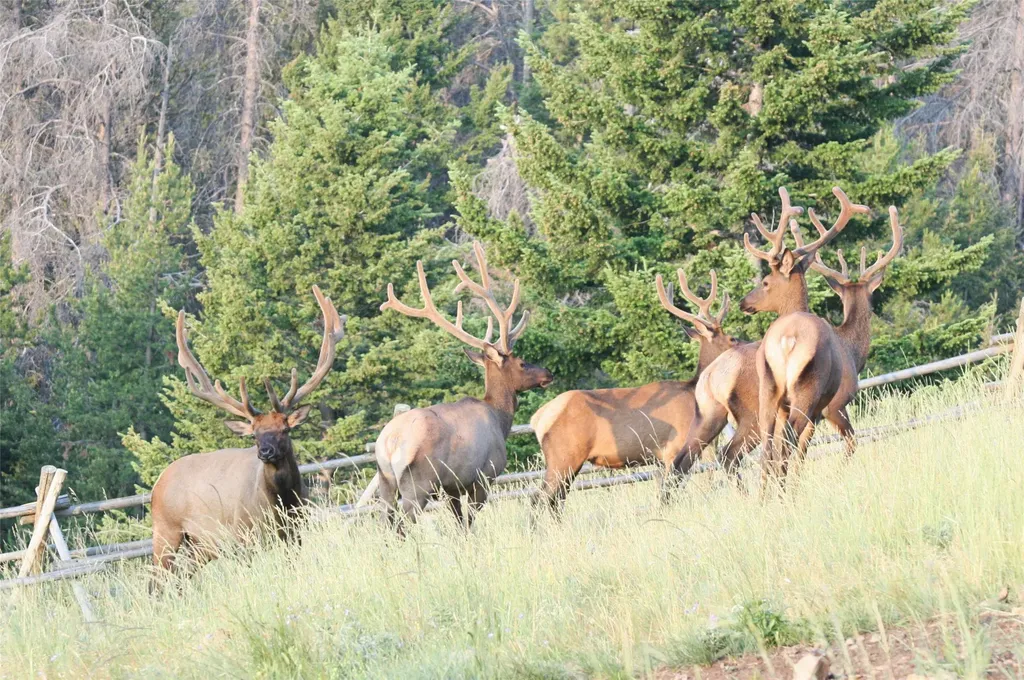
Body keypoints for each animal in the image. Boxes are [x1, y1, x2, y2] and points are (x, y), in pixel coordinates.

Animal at [150, 286, 345, 573]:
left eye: (285, 429)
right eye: (254, 435)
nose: (265, 451)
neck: (280, 505)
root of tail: (157, 484)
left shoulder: (296, 531)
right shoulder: (245, 537)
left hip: (199, 545)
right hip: (165, 531)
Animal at [372, 242, 553, 531]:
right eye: (522, 362)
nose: (548, 373)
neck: (501, 418)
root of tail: (389, 444)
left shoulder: (452, 487)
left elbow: (459, 524)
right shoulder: (483, 477)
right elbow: (469, 521)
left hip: (385, 481)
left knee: (386, 522)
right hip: (417, 482)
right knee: (404, 523)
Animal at [529, 270, 737, 512]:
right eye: (731, 338)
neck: (693, 396)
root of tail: (538, 419)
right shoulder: (673, 447)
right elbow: (672, 491)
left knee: (555, 499)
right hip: (564, 455)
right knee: (539, 499)